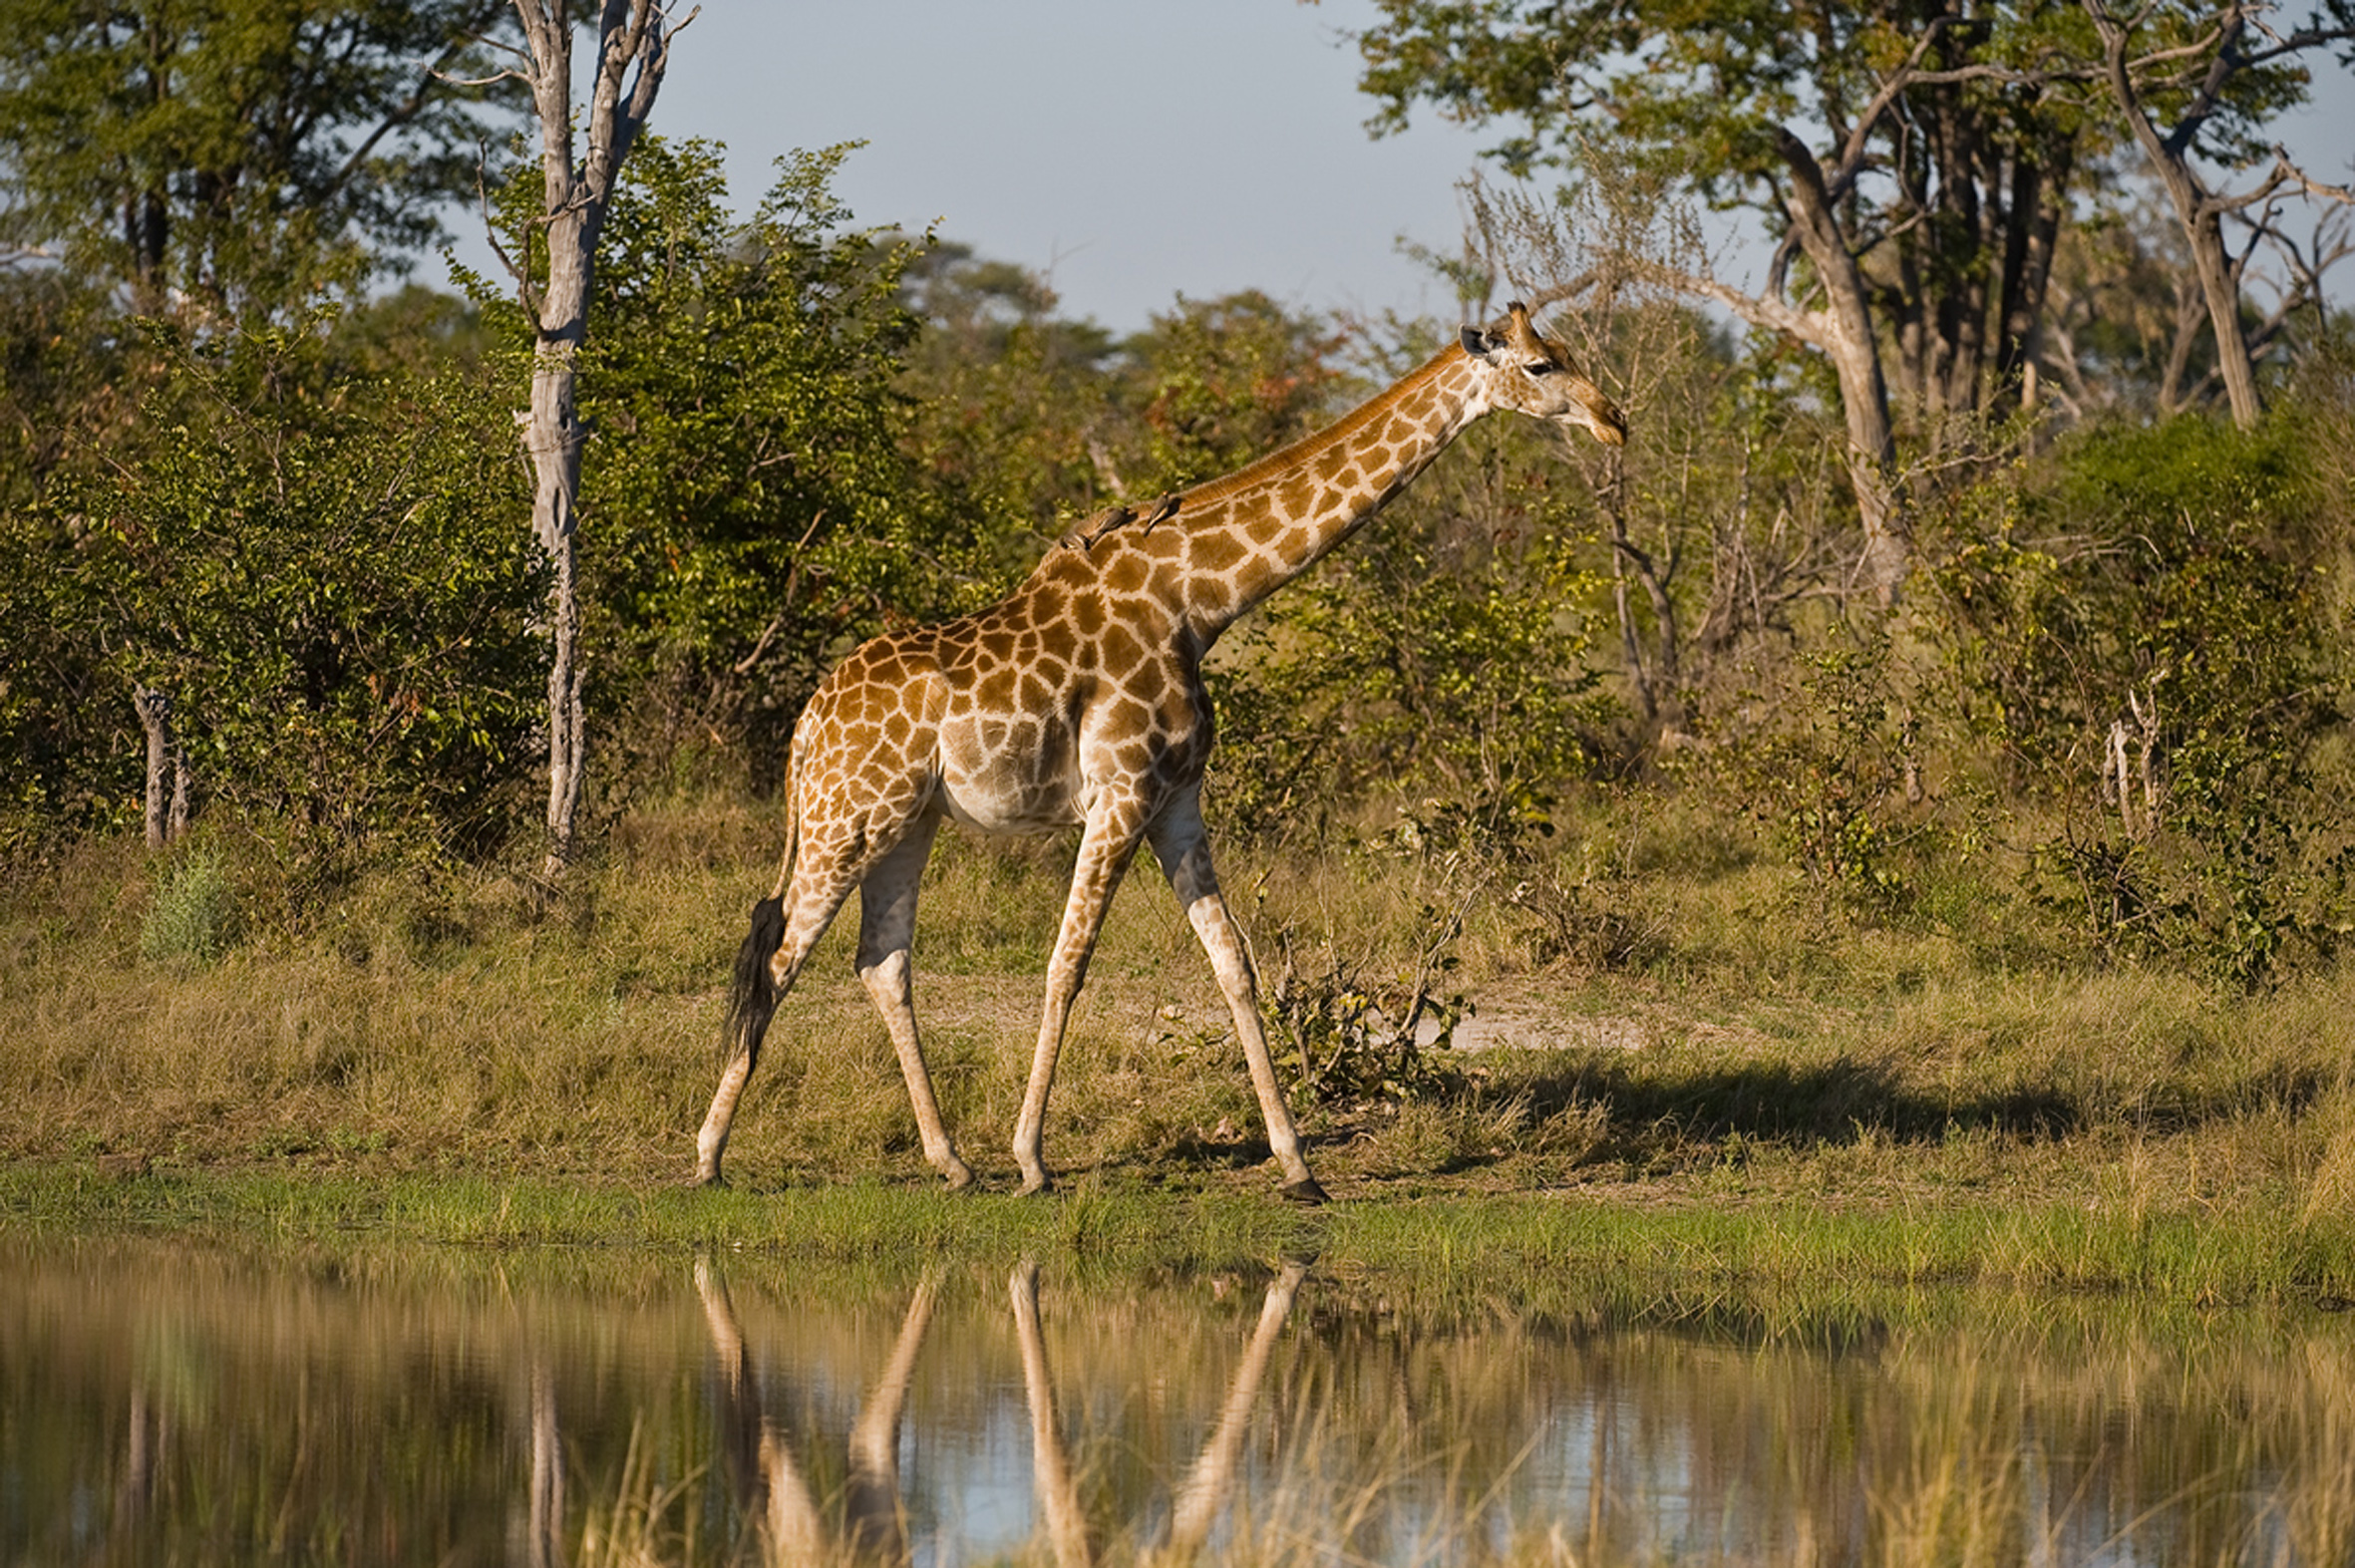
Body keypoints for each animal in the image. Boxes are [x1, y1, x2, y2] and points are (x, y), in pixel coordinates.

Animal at [697, 301, 1626, 1202]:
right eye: (1541, 364)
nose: (1613, 420)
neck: (1199, 600)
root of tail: (807, 724)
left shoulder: (1178, 797)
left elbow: (1235, 963)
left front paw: (1298, 1166)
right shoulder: (1121, 792)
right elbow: (1066, 965)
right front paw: (1033, 1160)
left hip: (908, 820)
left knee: (882, 962)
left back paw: (951, 1161)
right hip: (848, 817)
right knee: (779, 957)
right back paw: (709, 1155)